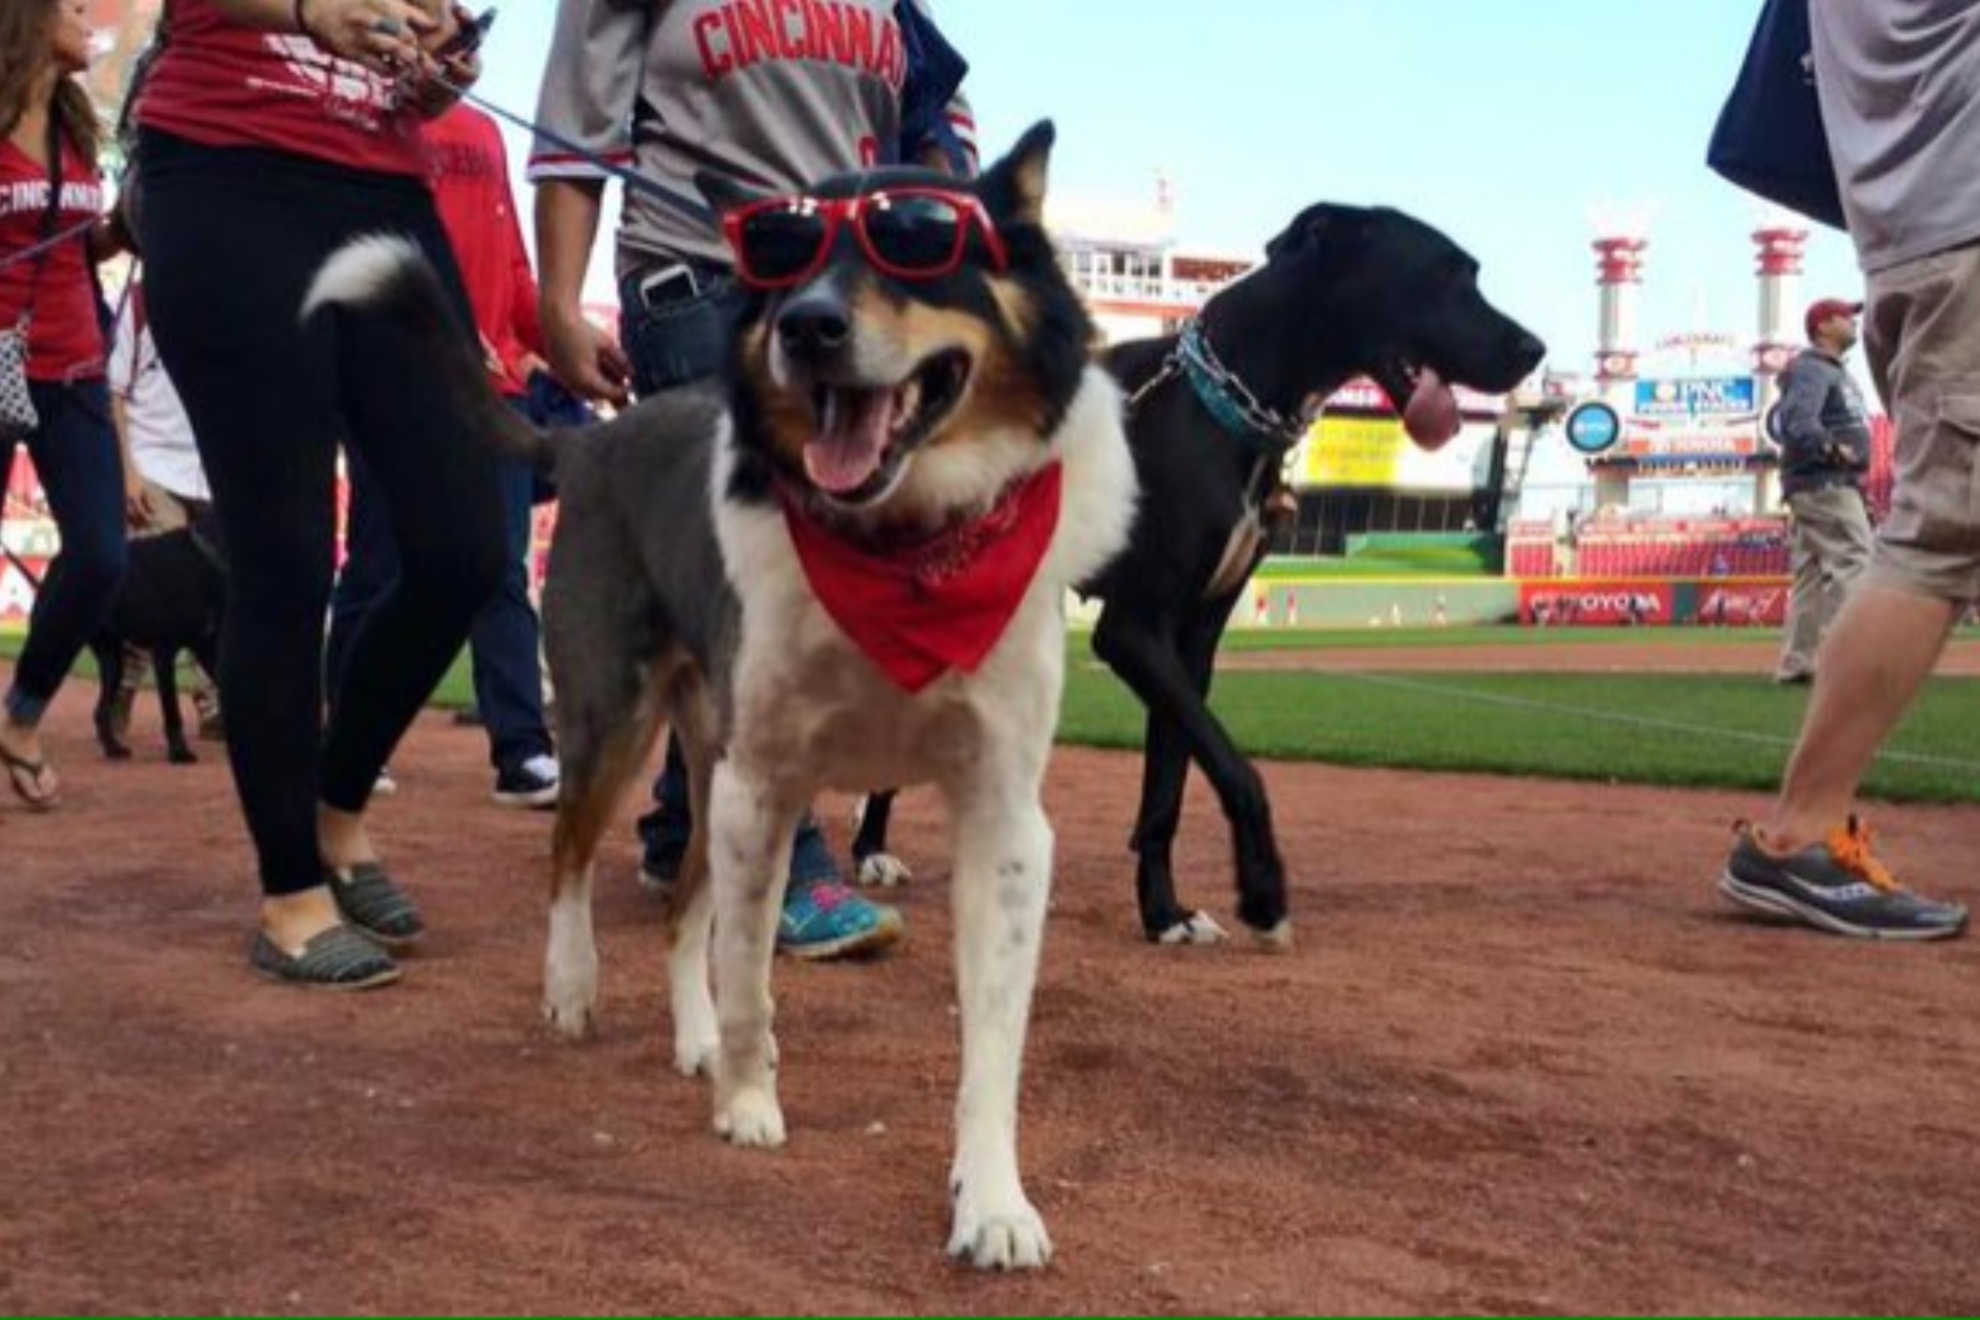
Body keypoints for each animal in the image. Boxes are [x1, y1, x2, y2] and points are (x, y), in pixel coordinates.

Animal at [89, 514, 224, 763]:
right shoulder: (165, 652)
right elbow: (172, 711)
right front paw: (179, 753)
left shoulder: (209, 648)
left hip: (113, 660)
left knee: (101, 711)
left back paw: (114, 749)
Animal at [310, 121, 1148, 1266]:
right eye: (781, 255)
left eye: (918, 239)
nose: (807, 327)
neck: (905, 548)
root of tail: (589, 434)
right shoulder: (768, 784)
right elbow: (750, 973)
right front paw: (750, 1105)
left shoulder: (1004, 819)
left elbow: (992, 1040)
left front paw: (993, 1202)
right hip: (619, 721)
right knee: (571, 855)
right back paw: (574, 986)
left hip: (707, 765)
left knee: (679, 912)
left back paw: (693, 1038)